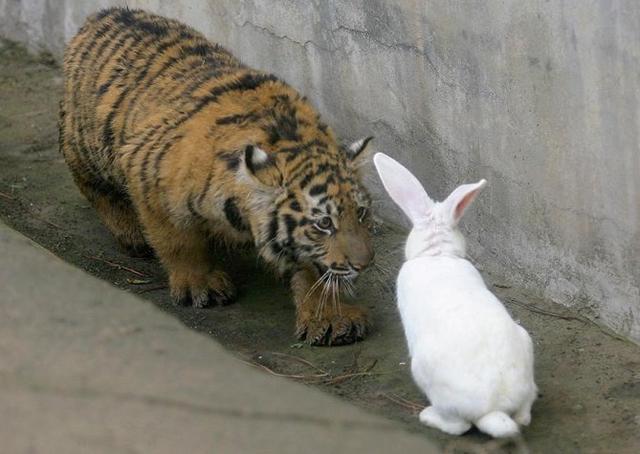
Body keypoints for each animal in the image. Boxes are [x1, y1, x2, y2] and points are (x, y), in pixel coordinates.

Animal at [372, 153, 536, 440]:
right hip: (526, 345)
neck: (437, 253)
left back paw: (427, 416)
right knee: (524, 414)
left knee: (458, 426)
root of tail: (495, 408)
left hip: (424, 371)